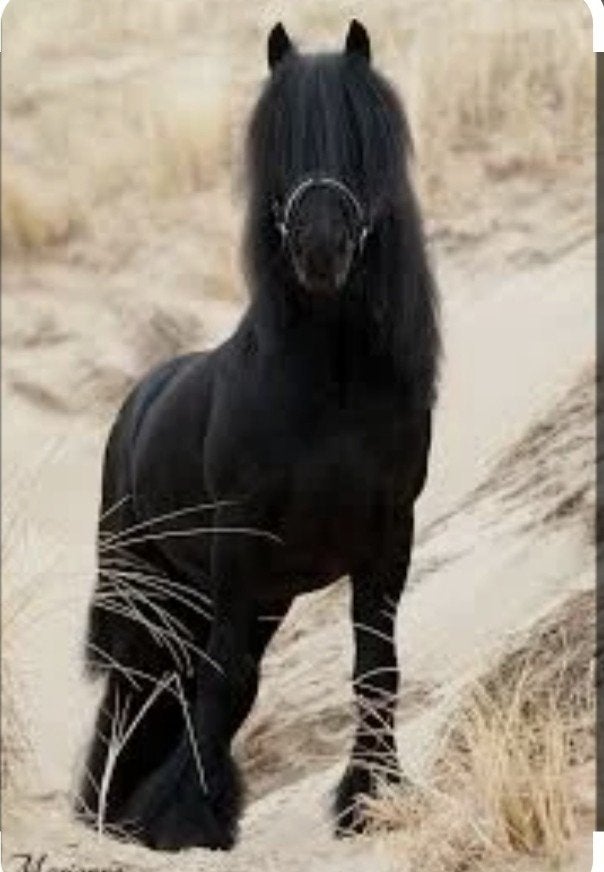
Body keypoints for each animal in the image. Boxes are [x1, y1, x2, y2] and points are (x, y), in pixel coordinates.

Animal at [77, 19, 440, 851]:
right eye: (277, 142)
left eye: (362, 139)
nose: (320, 248)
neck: (331, 397)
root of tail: (138, 400)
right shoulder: (241, 549)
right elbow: (228, 682)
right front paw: (189, 820)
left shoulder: (386, 542)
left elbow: (376, 669)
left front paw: (369, 799)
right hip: (150, 595)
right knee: (133, 698)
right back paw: (105, 818)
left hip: (229, 600)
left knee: (167, 695)